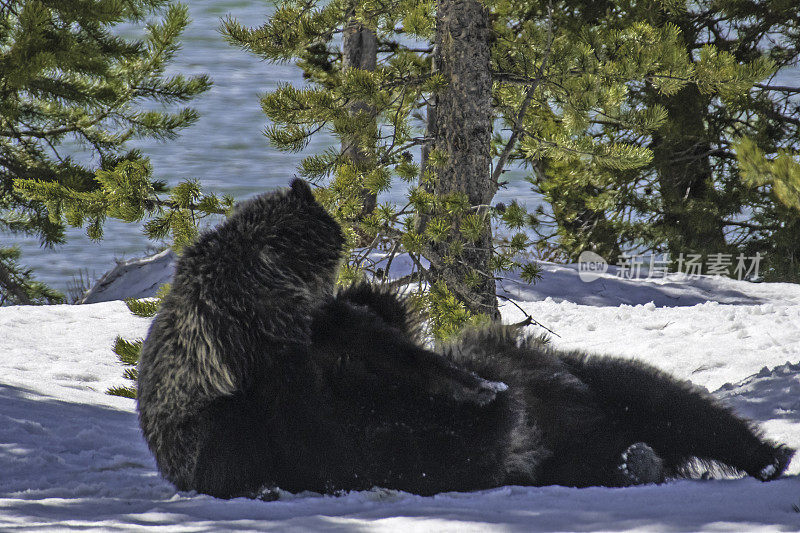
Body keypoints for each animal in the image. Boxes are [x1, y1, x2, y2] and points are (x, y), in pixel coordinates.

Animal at [134, 179, 792, 498]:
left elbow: (387, 329)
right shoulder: (304, 410)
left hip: (580, 384)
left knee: (670, 400)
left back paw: (761, 456)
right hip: (561, 434)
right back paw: (640, 460)